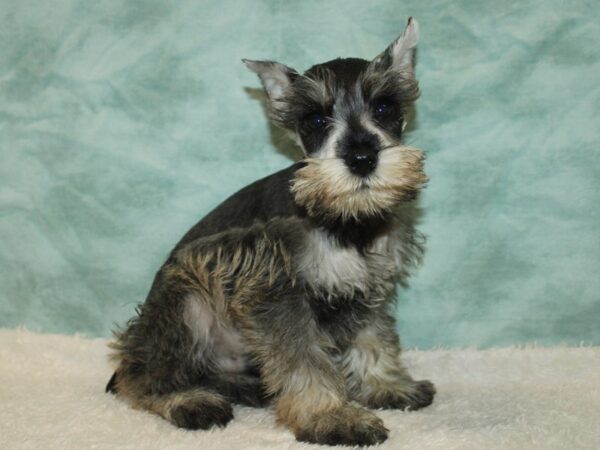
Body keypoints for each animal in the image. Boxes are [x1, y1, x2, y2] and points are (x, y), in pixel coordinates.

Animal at [108, 17, 434, 446]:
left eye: (384, 107)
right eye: (315, 120)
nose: (362, 157)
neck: (345, 221)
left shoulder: (369, 287)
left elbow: (373, 336)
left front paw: (386, 385)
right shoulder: (276, 292)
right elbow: (304, 360)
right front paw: (330, 417)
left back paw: (248, 388)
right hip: (186, 304)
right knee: (141, 373)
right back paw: (187, 400)